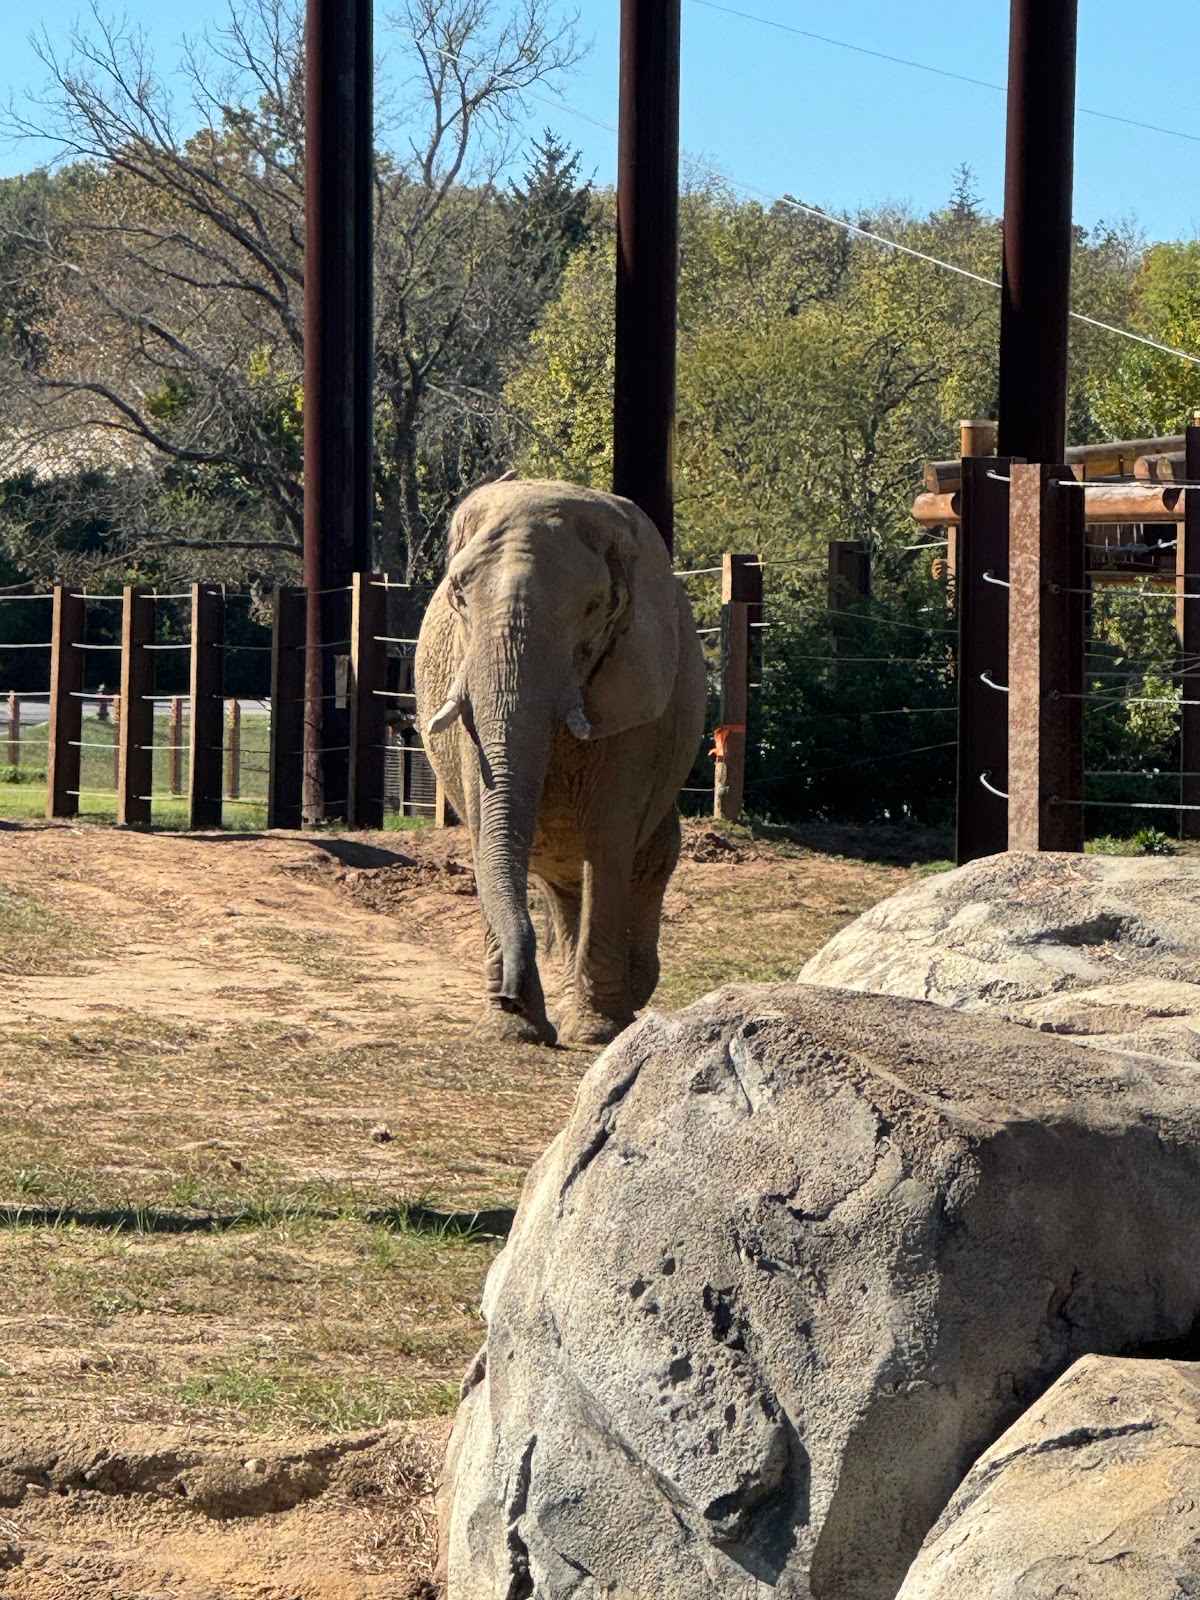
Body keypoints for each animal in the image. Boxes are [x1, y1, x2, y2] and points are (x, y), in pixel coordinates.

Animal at [414, 478, 707, 1047]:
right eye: (458, 595)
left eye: (594, 607)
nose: (511, 989)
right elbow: (484, 819)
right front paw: (512, 1029)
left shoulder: (638, 690)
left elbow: (611, 835)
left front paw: (596, 1034)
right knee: (562, 877)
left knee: (649, 855)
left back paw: (627, 995)